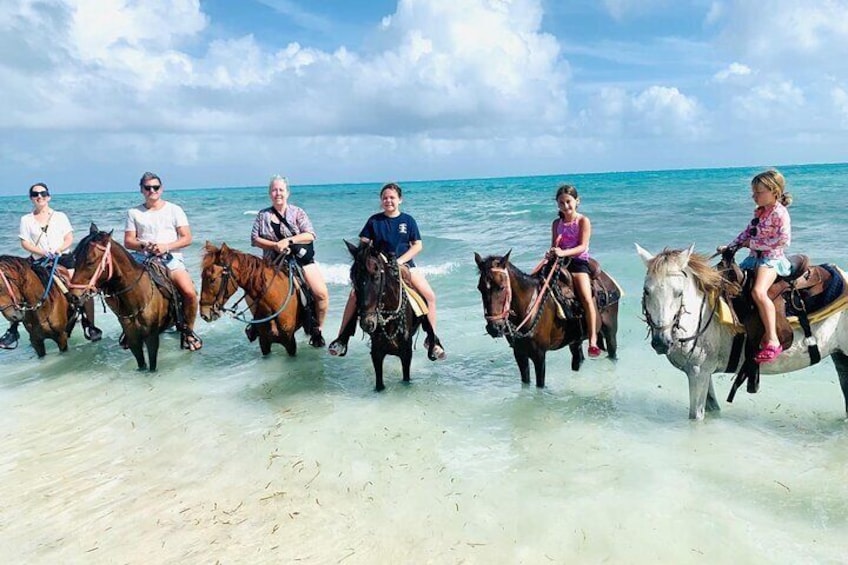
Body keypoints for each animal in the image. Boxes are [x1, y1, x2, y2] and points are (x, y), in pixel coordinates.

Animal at [70, 223, 181, 372]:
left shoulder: (151, 338)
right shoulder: (134, 339)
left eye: (90, 262)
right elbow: (142, 364)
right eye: (75, 259)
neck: (137, 299)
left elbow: (152, 366)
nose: (73, 296)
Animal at [474, 251, 620, 388]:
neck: (529, 308)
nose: (494, 327)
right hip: (575, 340)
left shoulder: (539, 355)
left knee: (612, 353)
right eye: (480, 288)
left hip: (610, 332)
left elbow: (540, 385)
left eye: (501, 287)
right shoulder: (519, 354)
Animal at [636, 245, 848, 420]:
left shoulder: (698, 372)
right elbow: (713, 409)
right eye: (646, 290)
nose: (662, 342)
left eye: (678, 293)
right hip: (840, 356)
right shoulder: (702, 372)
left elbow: (695, 417)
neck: (702, 314)